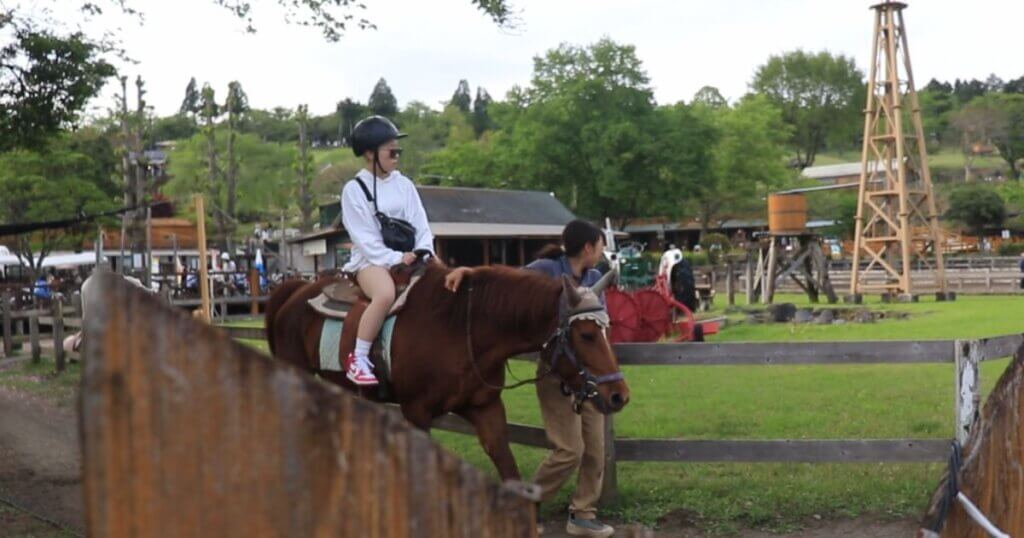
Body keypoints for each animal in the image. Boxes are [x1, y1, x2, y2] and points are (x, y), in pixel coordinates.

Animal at [264, 262, 626, 477]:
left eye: (606, 330)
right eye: (587, 334)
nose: (619, 395)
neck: (461, 327)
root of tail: (294, 291)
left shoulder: (485, 408)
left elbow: (507, 466)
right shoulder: (417, 412)